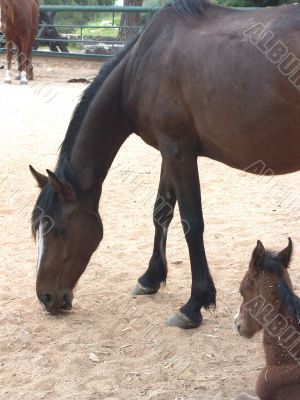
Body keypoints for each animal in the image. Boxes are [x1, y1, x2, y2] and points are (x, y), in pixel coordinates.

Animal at [31, 0, 300, 328]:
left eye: (59, 228)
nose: (45, 298)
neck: (140, 65)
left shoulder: (179, 151)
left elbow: (192, 222)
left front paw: (194, 303)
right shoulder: (167, 152)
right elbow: (161, 212)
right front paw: (150, 278)